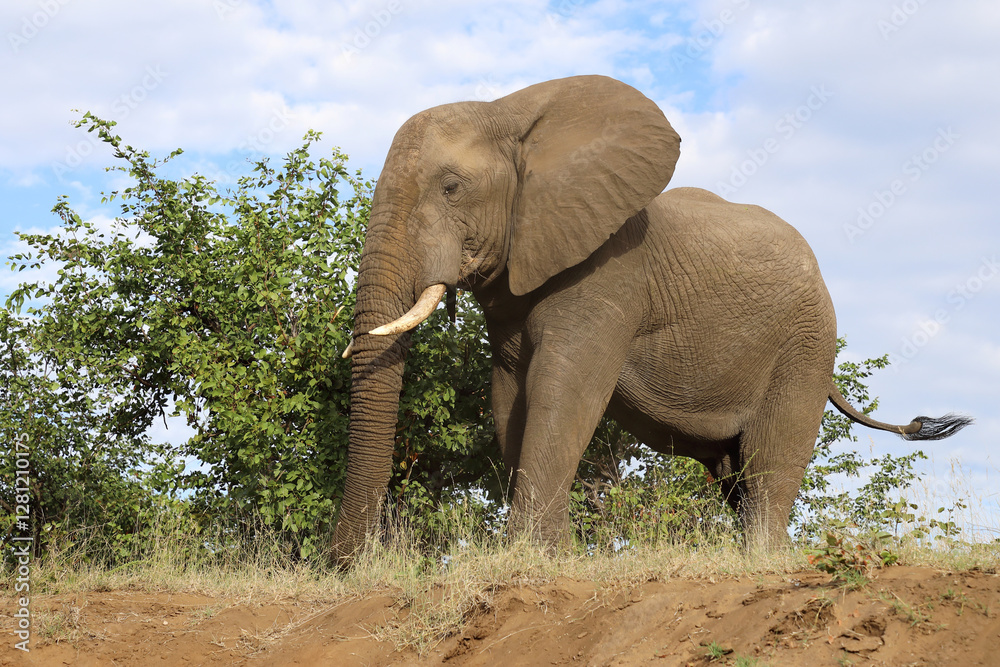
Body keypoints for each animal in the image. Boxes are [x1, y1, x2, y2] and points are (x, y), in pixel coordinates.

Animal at [331, 75, 971, 565]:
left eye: (451, 186)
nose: (344, 563)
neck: (509, 111)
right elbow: (509, 398)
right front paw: (553, 558)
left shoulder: (610, 273)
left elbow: (563, 390)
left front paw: (529, 558)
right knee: (734, 476)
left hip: (807, 340)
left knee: (769, 459)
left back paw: (763, 560)